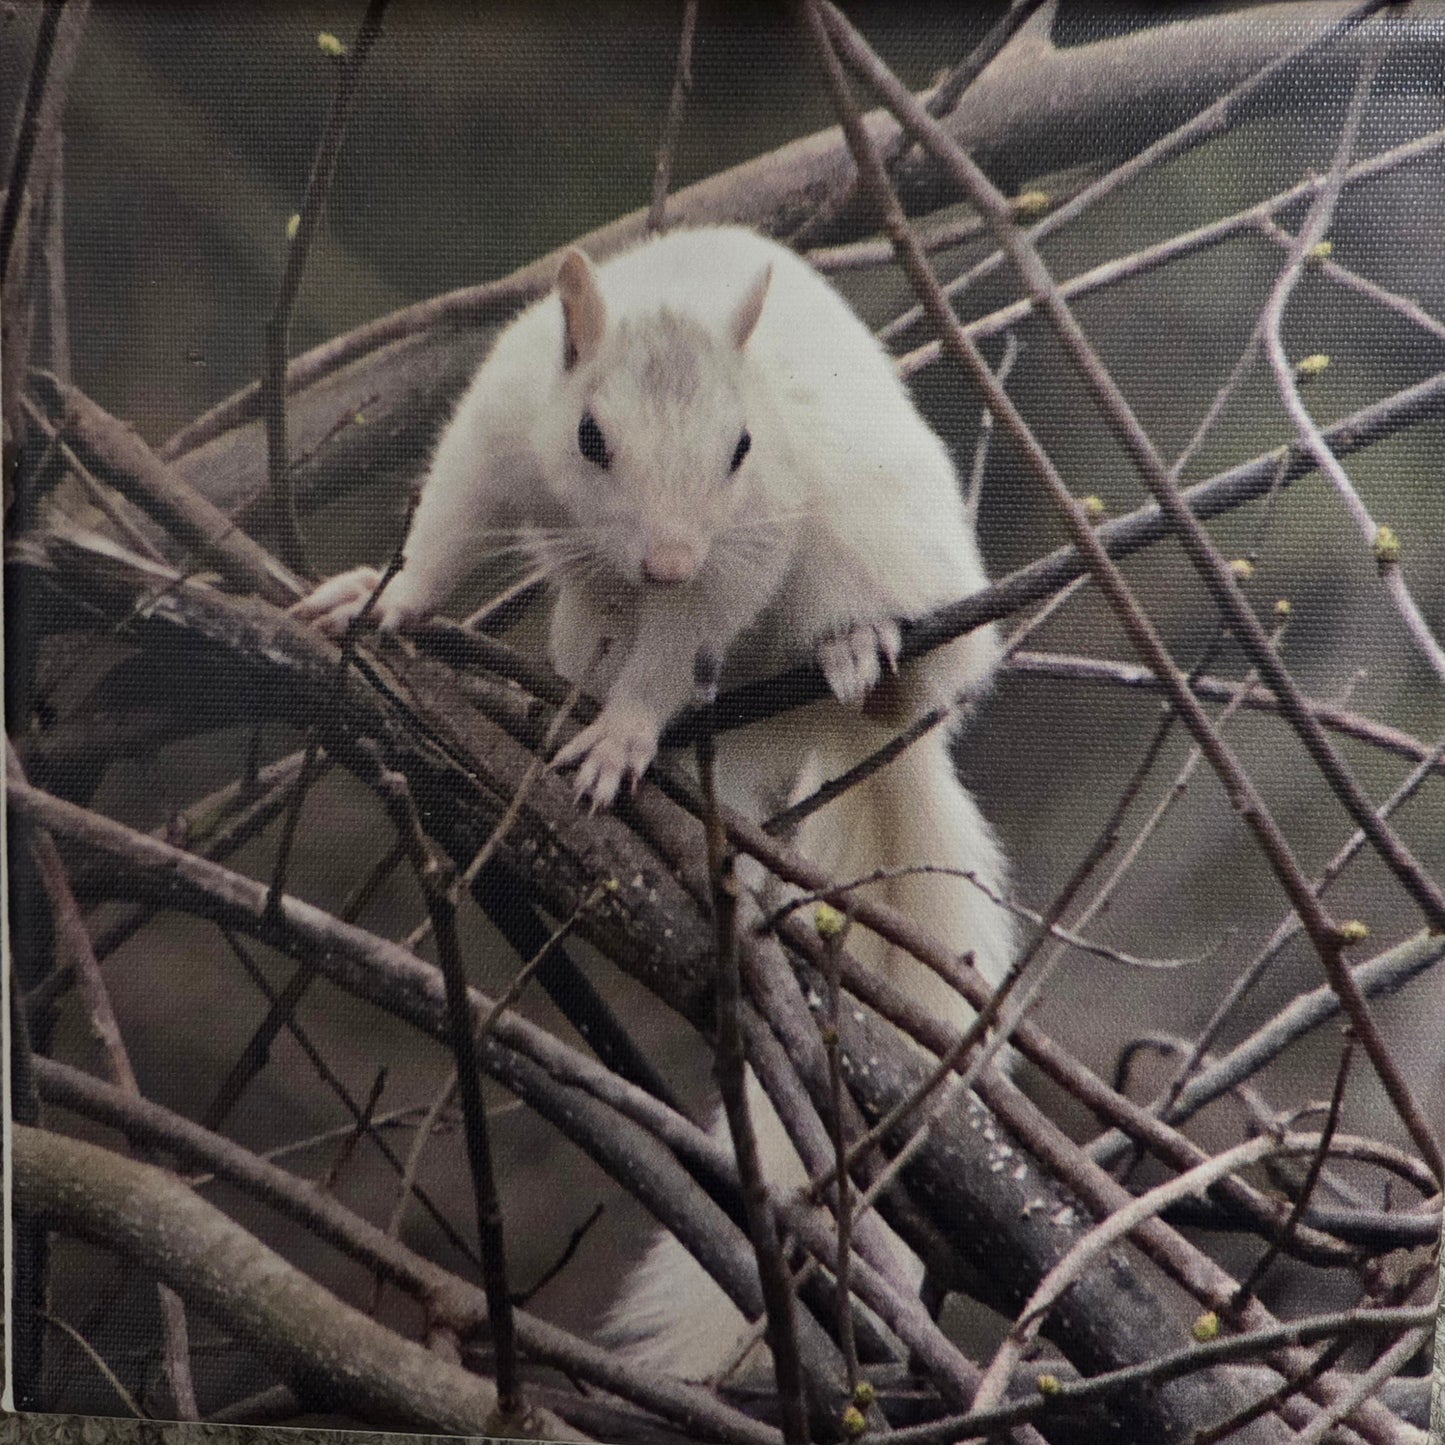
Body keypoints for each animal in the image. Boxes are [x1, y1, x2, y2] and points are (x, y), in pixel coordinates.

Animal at [293, 224, 1014, 1378]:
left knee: (890, 672)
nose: (669, 558)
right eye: (590, 438)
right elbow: (445, 532)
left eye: (742, 447)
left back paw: (857, 650)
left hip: (884, 561)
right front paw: (382, 599)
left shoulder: (742, 547)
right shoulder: (495, 430)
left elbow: (682, 644)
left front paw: (625, 736)